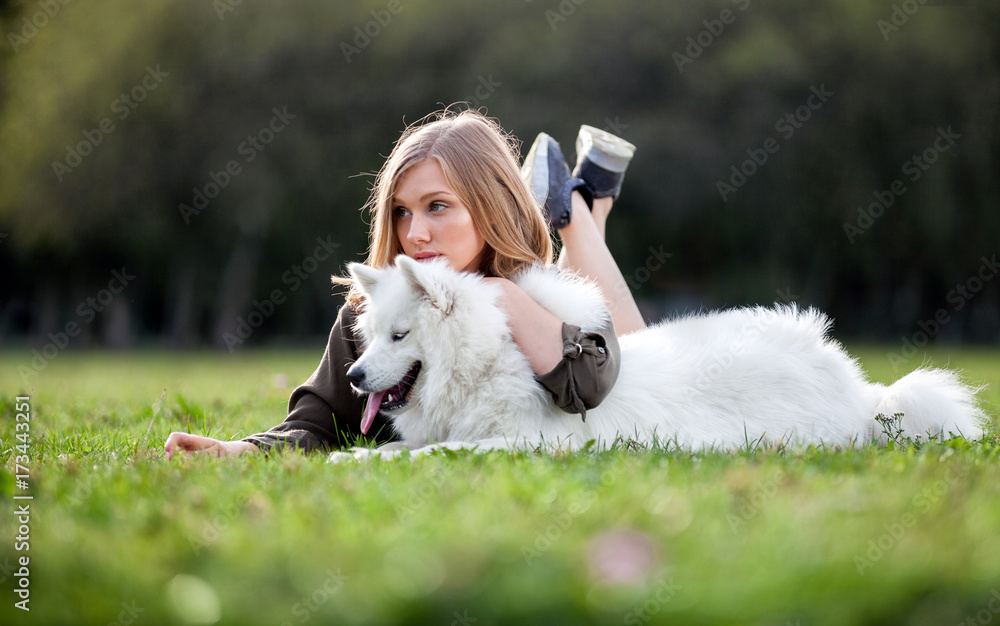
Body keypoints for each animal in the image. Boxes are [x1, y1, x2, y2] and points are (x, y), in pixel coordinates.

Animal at [332, 254, 988, 458]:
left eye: (401, 336)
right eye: (374, 334)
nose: (354, 375)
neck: (487, 358)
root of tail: (861, 388)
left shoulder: (530, 441)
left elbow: (429, 452)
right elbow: (396, 448)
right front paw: (348, 457)